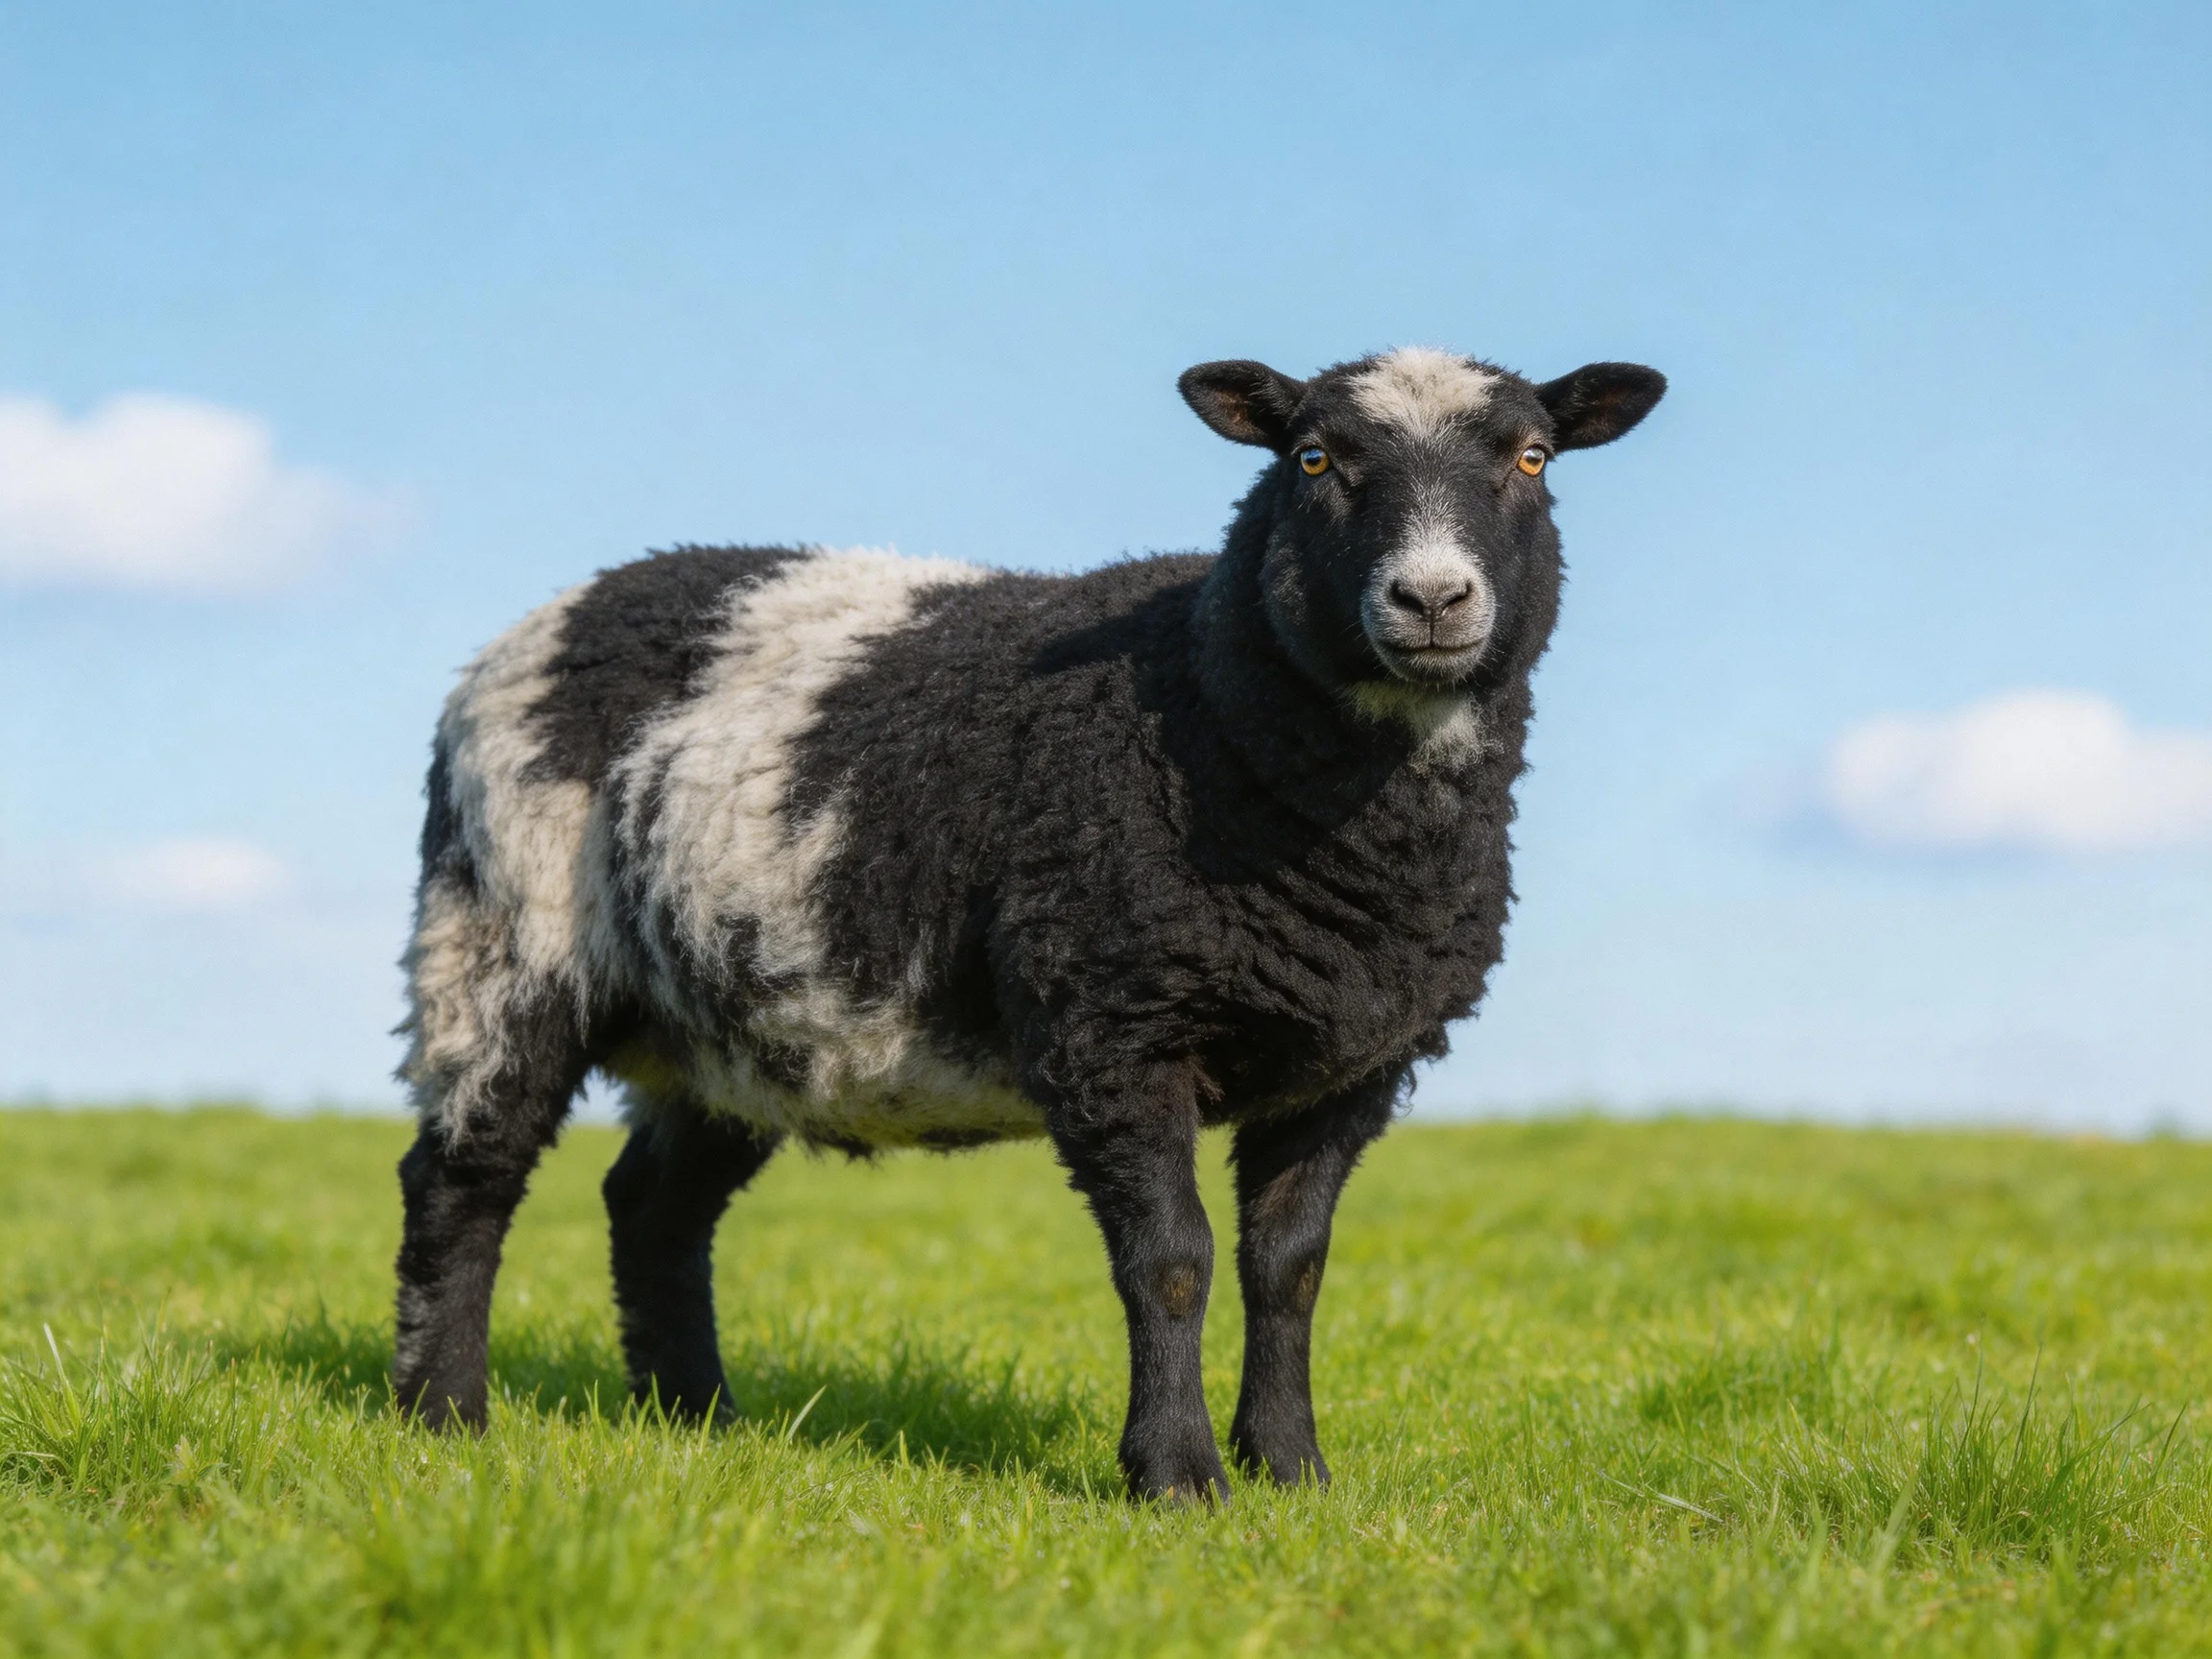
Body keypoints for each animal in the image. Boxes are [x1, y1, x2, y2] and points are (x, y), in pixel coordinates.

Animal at [392, 346, 1665, 1501]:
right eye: (1312, 458)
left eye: (1532, 458)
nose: (1433, 599)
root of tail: (552, 617)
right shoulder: (1114, 1021)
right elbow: (1172, 1261)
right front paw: (1177, 1479)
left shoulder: (1353, 1062)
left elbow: (1290, 1268)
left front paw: (1293, 1471)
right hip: (503, 927)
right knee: (463, 1177)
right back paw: (444, 1417)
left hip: (734, 1017)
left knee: (653, 1209)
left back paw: (697, 1415)